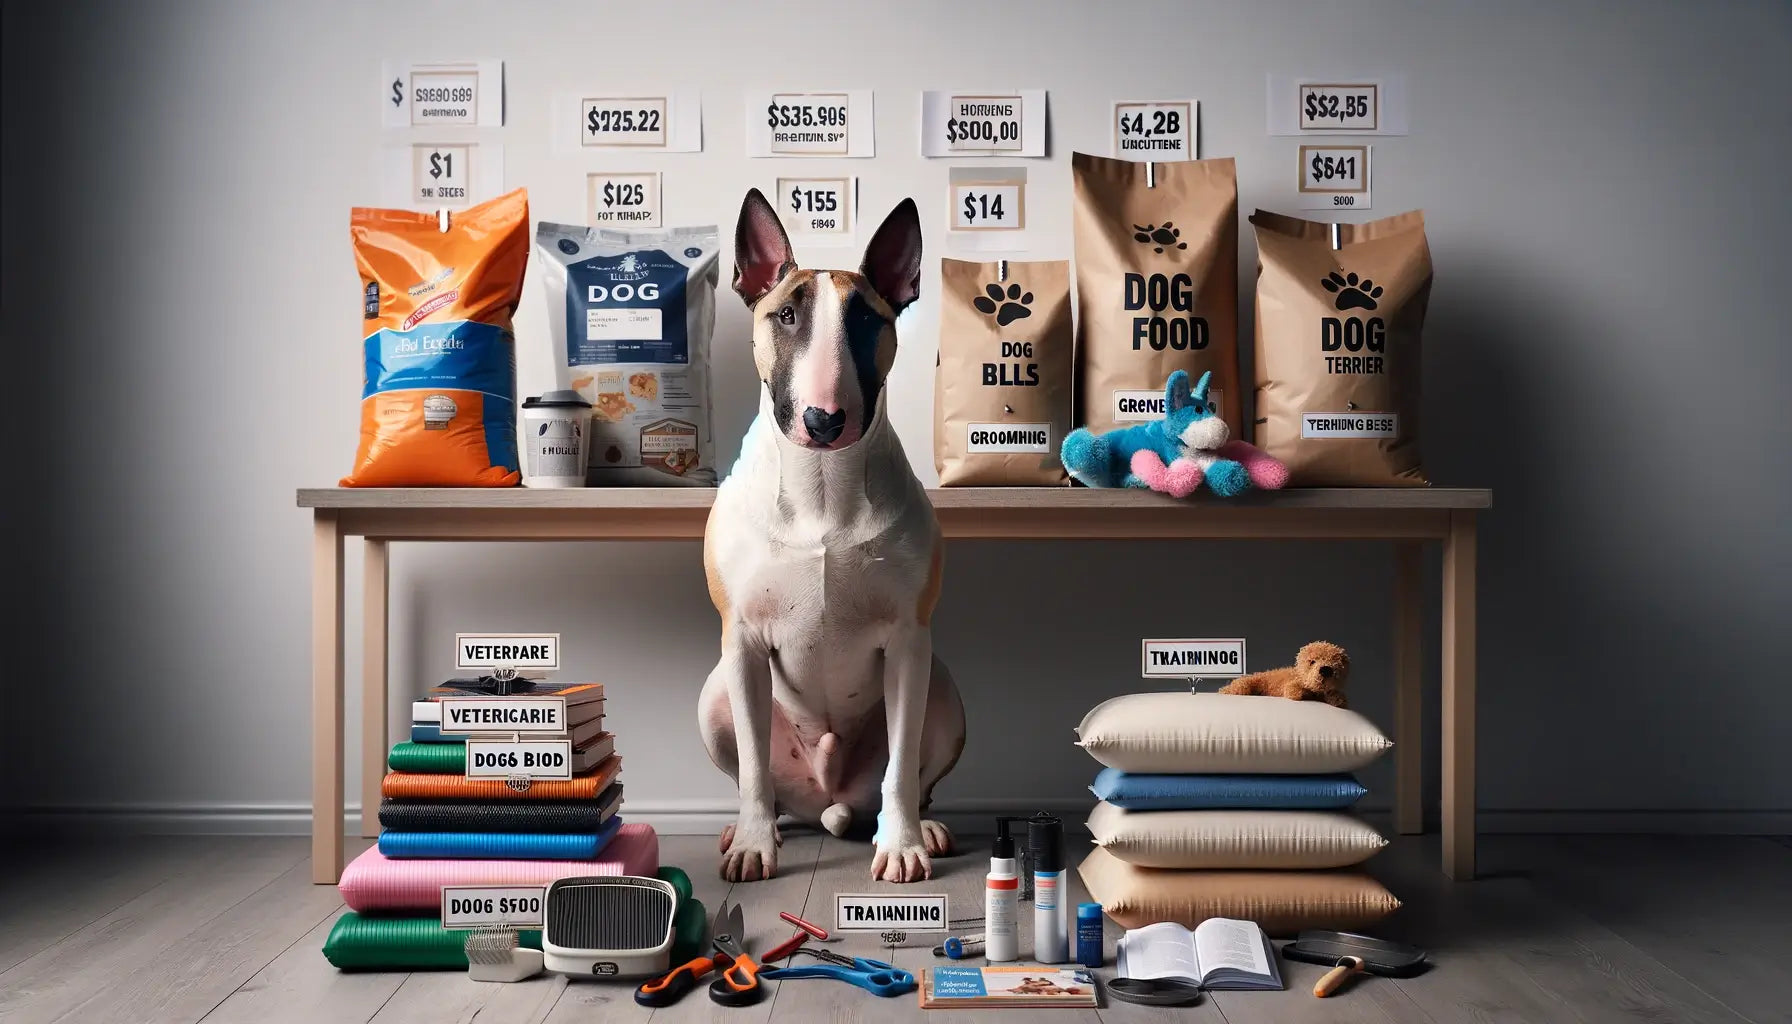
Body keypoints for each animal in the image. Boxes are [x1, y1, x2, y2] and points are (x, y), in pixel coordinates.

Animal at [702, 190, 967, 882]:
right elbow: (751, 768)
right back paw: (755, 829)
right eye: (786, 314)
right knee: (763, 778)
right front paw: (753, 847)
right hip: (714, 696)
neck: (821, 488)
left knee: (913, 776)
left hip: (944, 693)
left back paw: (925, 828)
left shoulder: (908, 641)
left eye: (869, 321)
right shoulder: (742, 640)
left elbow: (902, 766)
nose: (824, 421)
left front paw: (900, 847)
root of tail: (828, 800)